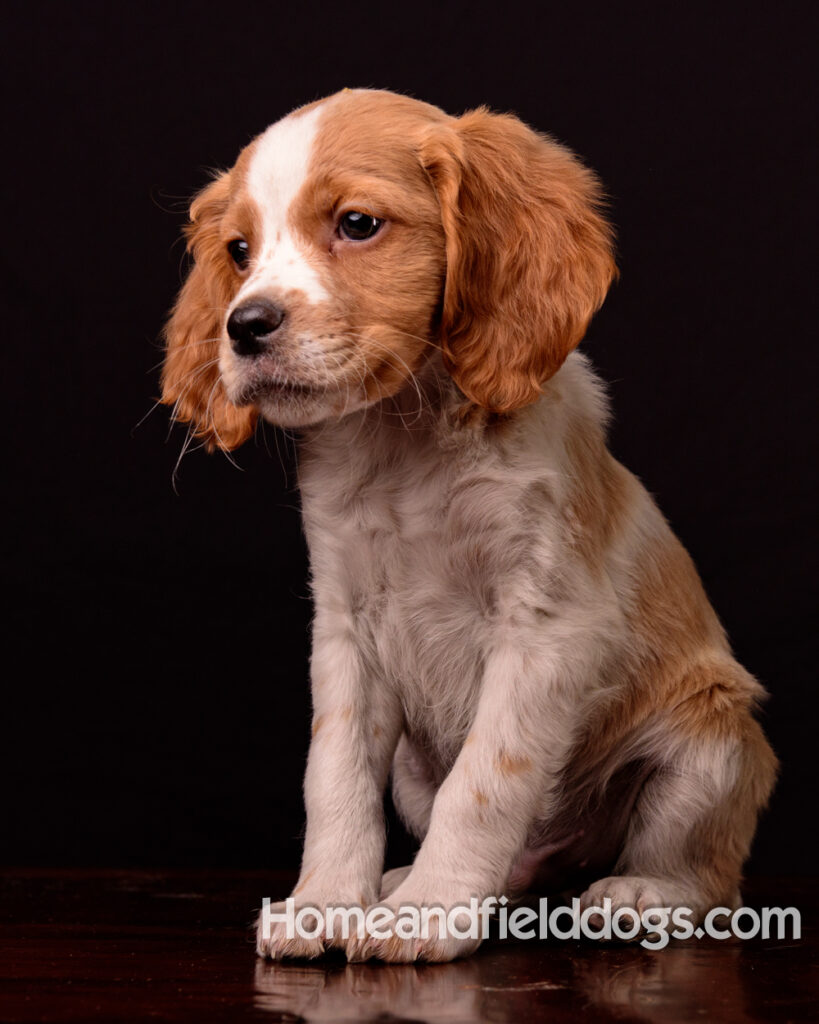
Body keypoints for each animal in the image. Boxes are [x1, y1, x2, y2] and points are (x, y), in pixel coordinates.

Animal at [158, 88, 773, 958]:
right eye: (239, 250)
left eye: (356, 224)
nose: (243, 325)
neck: (404, 441)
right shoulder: (344, 628)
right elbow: (334, 778)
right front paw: (326, 901)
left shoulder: (543, 626)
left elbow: (482, 783)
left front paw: (429, 910)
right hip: (416, 774)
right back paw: (399, 883)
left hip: (710, 744)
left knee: (707, 876)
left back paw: (638, 893)